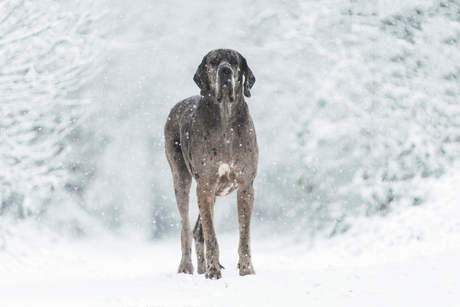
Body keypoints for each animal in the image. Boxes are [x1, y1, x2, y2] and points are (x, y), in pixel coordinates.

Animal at [164, 47, 258, 280]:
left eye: (234, 62)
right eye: (213, 62)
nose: (225, 71)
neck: (225, 119)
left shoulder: (246, 187)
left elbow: (244, 235)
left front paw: (246, 270)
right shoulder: (205, 186)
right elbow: (211, 235)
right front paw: (213, 271)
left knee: (197, 230)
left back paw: (201, 267)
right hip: (181, 181)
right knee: (186, 229)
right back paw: (187, 267)